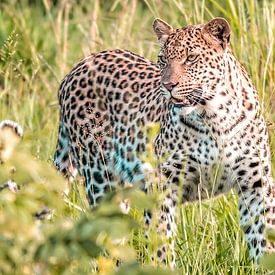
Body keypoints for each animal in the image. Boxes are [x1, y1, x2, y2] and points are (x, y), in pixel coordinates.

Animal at [54, 17, 275, 270]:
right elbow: (160, 240)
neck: (214, 117)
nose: (169, 85)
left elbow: (264, 237)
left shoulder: (256, 183)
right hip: (101, 179)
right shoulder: (162, 184)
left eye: (191, 58)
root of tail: (76, 68)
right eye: (162, 60)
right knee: (107, 238)